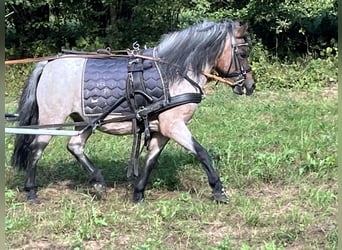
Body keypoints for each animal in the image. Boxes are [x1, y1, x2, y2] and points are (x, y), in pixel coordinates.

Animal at [11, 19, 254, 203]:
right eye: (242, 54)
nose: (250, 85)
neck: (174, 73)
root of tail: (48, 64)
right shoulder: (173, 125)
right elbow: (201, 153)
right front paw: (218, 190)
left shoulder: (161, 130)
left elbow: (150, 160)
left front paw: (138, 194)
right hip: (52, 119)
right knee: (35, 150)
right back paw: (31, 192)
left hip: (86, 120)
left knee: (74, 145)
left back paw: (99, 182)